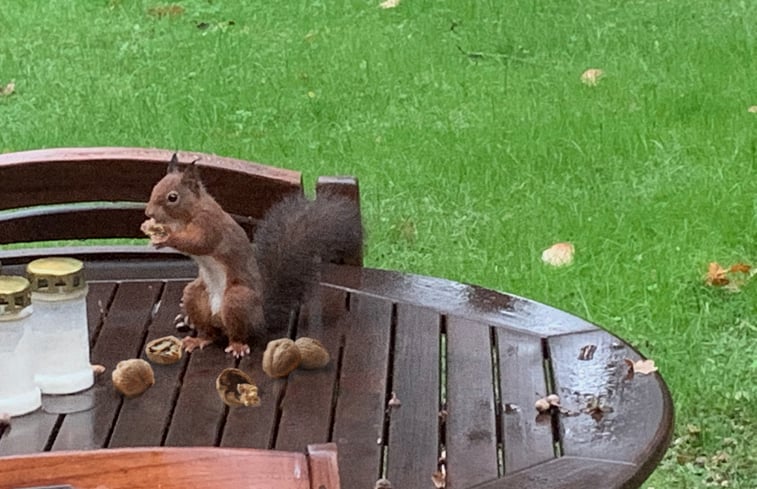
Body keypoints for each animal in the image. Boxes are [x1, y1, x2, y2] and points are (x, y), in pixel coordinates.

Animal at [143, 154, 364, 356]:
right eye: (154, 188)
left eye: (173, 197)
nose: (148, 213)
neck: (188, 214)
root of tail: (261, 319)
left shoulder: (209, 224)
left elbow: (200, 243)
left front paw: (167, 237)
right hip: (196, 296)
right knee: (209, 332)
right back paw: (199, 340)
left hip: (236, 299)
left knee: (237, 333)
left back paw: (237, 345)